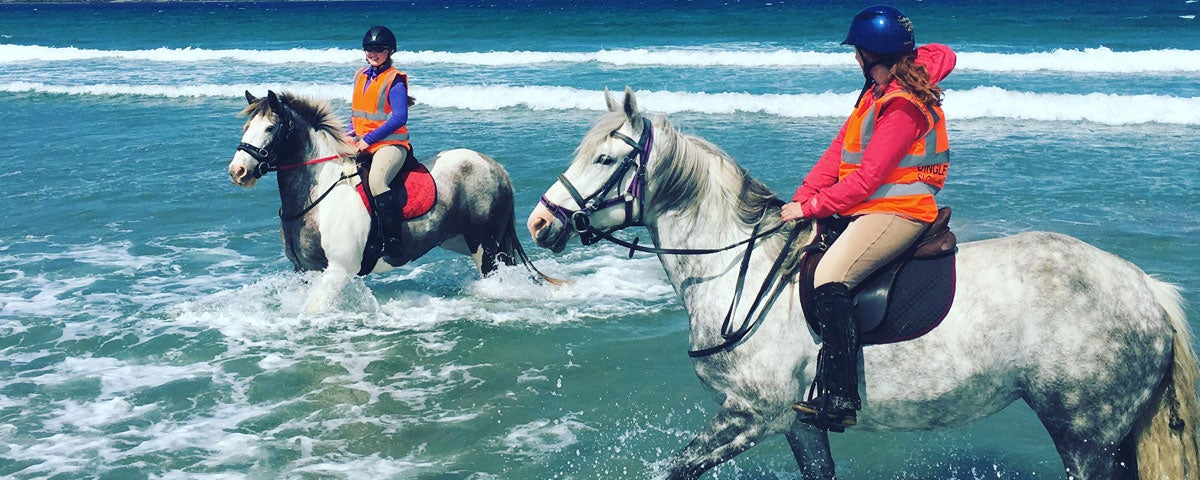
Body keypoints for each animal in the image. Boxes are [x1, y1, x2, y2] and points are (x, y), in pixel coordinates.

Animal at [228, 90, 538, 312]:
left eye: (270, 128)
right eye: (246, 126)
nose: (237, 171)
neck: (317, 198)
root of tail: (496, 167)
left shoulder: (337, 271)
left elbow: (314, 310)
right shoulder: (305, 272)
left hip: (486, 248)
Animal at [525, 87, 1200, 479]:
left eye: (606, 159)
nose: (539, 223)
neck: (741, 270)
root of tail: (1145, 288)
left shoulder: (751, 415)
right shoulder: (798, 423)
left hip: (1085, 434)